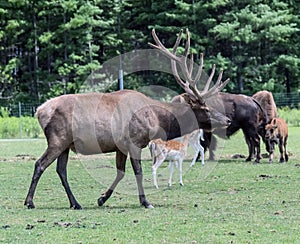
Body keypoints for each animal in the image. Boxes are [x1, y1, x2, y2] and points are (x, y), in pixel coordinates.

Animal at [24, 29, 231, 210]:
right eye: (205, 108)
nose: (227, 120)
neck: (156, 120)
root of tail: (39, 111)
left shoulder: (120, 146)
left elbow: (120, 172)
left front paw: (101, 198)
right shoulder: (134, 141)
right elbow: (138, 172)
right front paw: (145, 202)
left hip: (66, 144)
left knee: (61, 170)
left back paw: (75, 203)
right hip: (57, 139)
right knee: (40, 164)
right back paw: (30, 202)